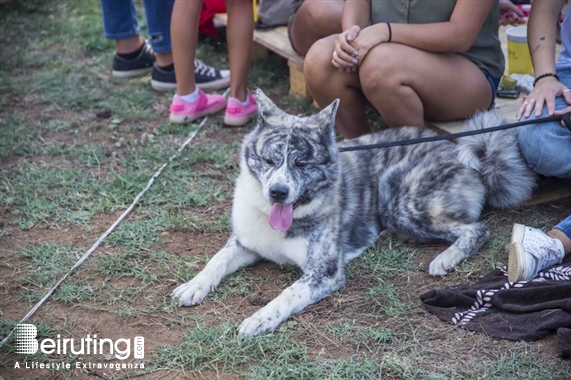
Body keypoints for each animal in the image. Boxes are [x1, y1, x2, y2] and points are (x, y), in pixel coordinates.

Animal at [173, 89, 536, 336]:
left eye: (302, 163)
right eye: (269, 160)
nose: (278, 192)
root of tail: (472, 160)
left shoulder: (325, 272)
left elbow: (287, 295)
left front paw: (259, 318)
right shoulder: (246, 243)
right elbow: (217, 259)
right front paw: (194, 285)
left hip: (396, 193)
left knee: (476, 229)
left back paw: (445, 258)